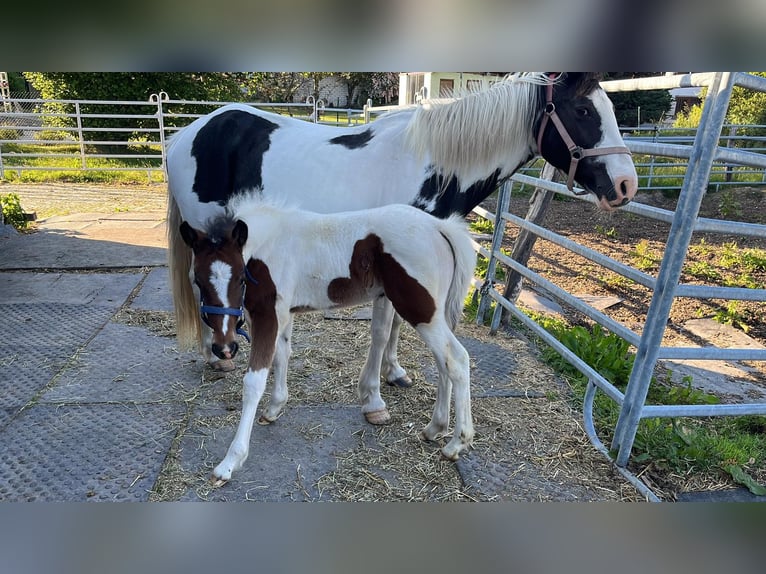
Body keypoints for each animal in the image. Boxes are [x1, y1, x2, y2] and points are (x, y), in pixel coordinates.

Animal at [166, 72, 636, 378]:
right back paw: (215, 355)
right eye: (582, 110)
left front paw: (394, 371)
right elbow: (390, 323)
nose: (625, 185)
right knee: (200, 284)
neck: (434, 162)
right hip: (207, 234)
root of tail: (186, 133)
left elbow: (394, 325)